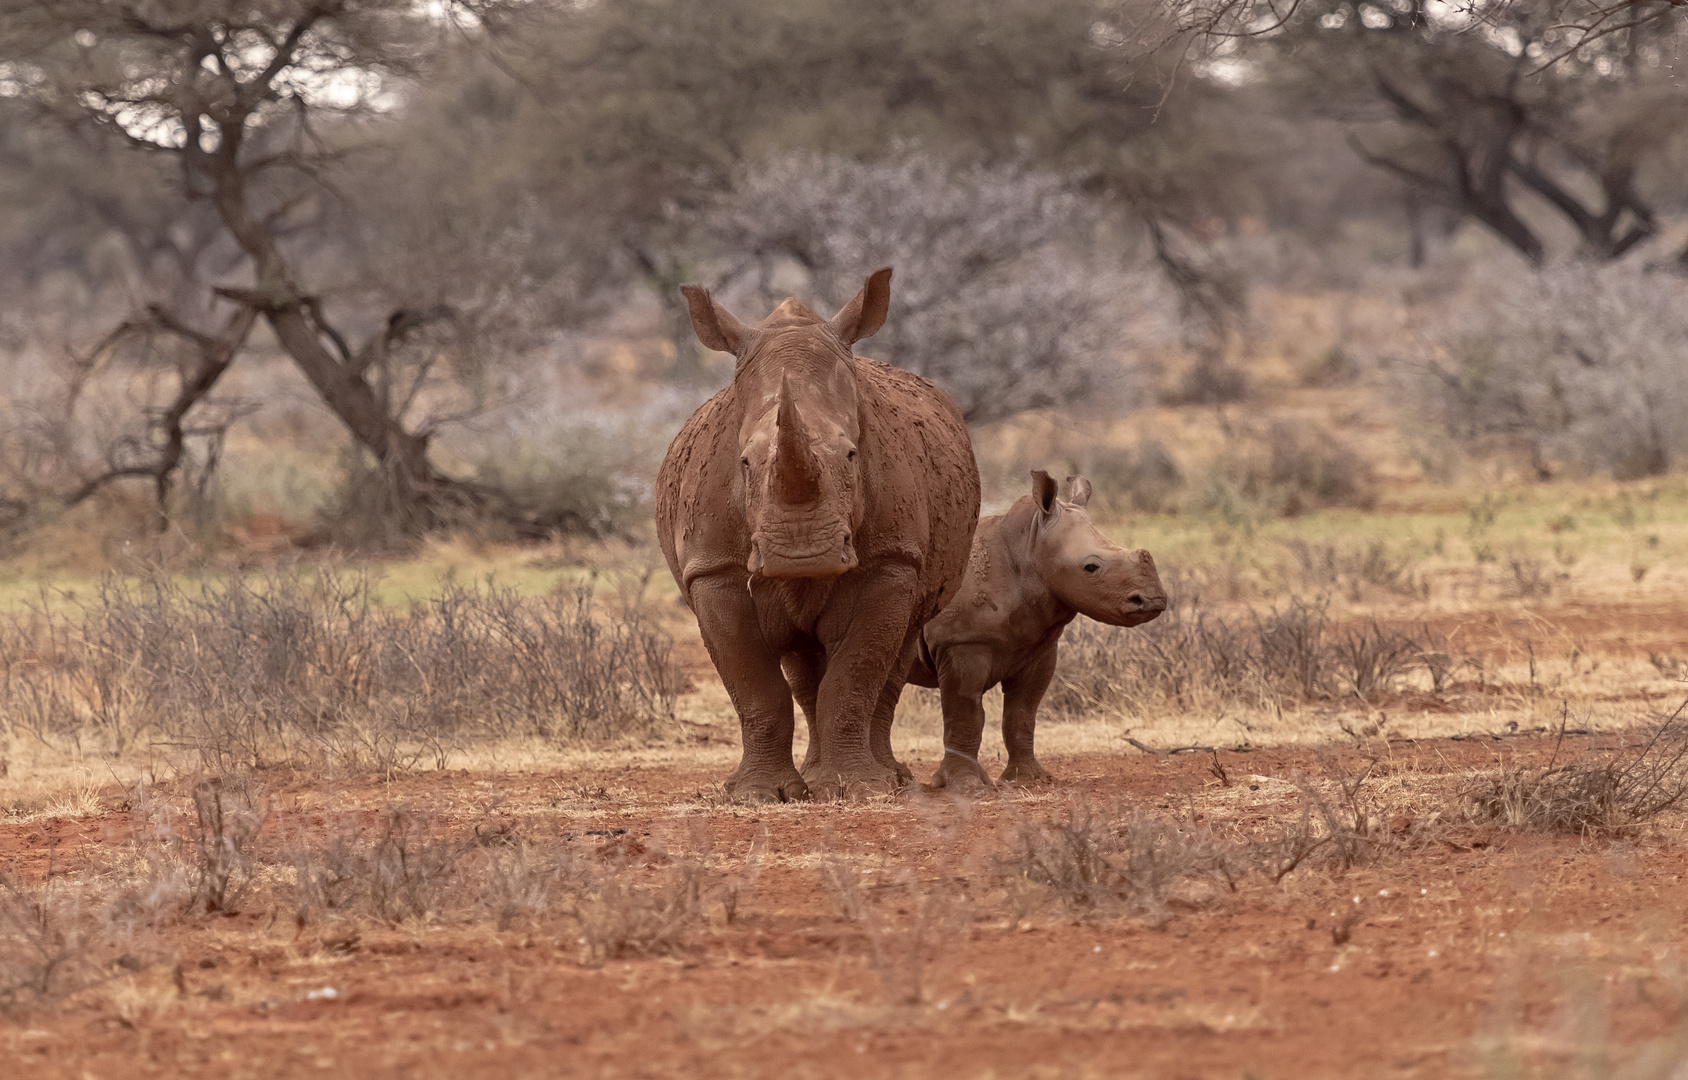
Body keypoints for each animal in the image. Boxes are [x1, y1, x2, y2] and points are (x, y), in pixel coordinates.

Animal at [904, 469, 1168, 789]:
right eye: (1091, 568)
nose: (1154, 600)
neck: (1028, 549)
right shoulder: (961, 643)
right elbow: (964, 712)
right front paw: (965, 784)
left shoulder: (1040, 646)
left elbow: (1022, 713)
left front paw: (1030, 780)